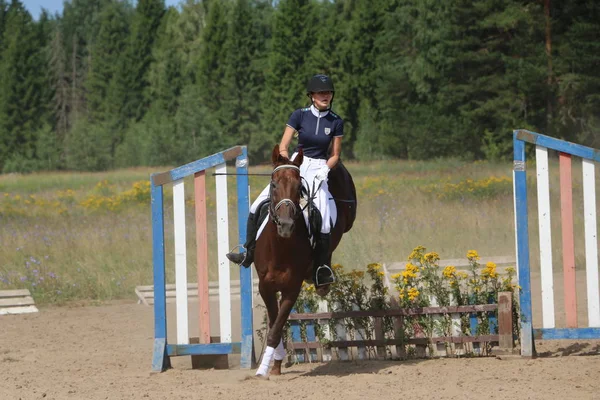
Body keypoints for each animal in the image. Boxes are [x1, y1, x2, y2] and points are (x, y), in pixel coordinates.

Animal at [253, 145, 356, 376]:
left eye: (299, 187)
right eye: (274, 184)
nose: (286, 225)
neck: (280, 247)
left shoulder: (292, 288)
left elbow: (276, 328)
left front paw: (265, 368)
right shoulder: (265, 286)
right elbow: (275, 323)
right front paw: (275, 364)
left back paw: (322, 278)